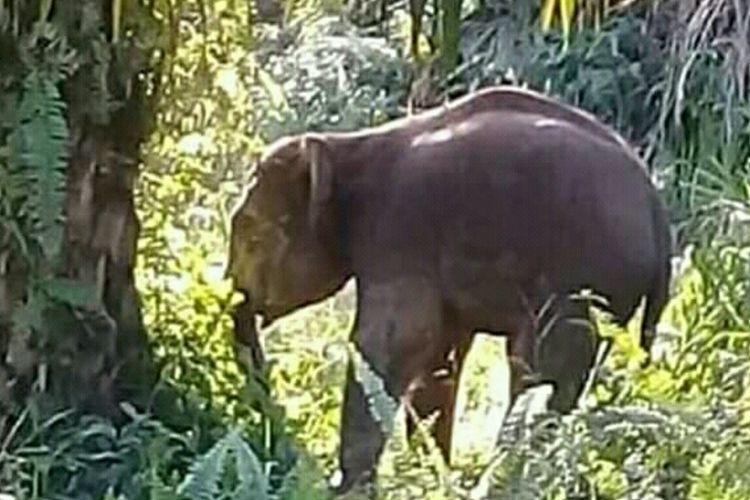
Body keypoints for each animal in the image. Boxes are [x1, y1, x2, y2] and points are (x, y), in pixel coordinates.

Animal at [226, 85, 672, 492]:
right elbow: (438, 359)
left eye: (251, 235)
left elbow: (390, 344)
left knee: (538, 374)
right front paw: (430, 474)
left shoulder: (400, 233)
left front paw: (349, 487)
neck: (348, 148)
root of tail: (656, 207)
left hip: (580, 283)